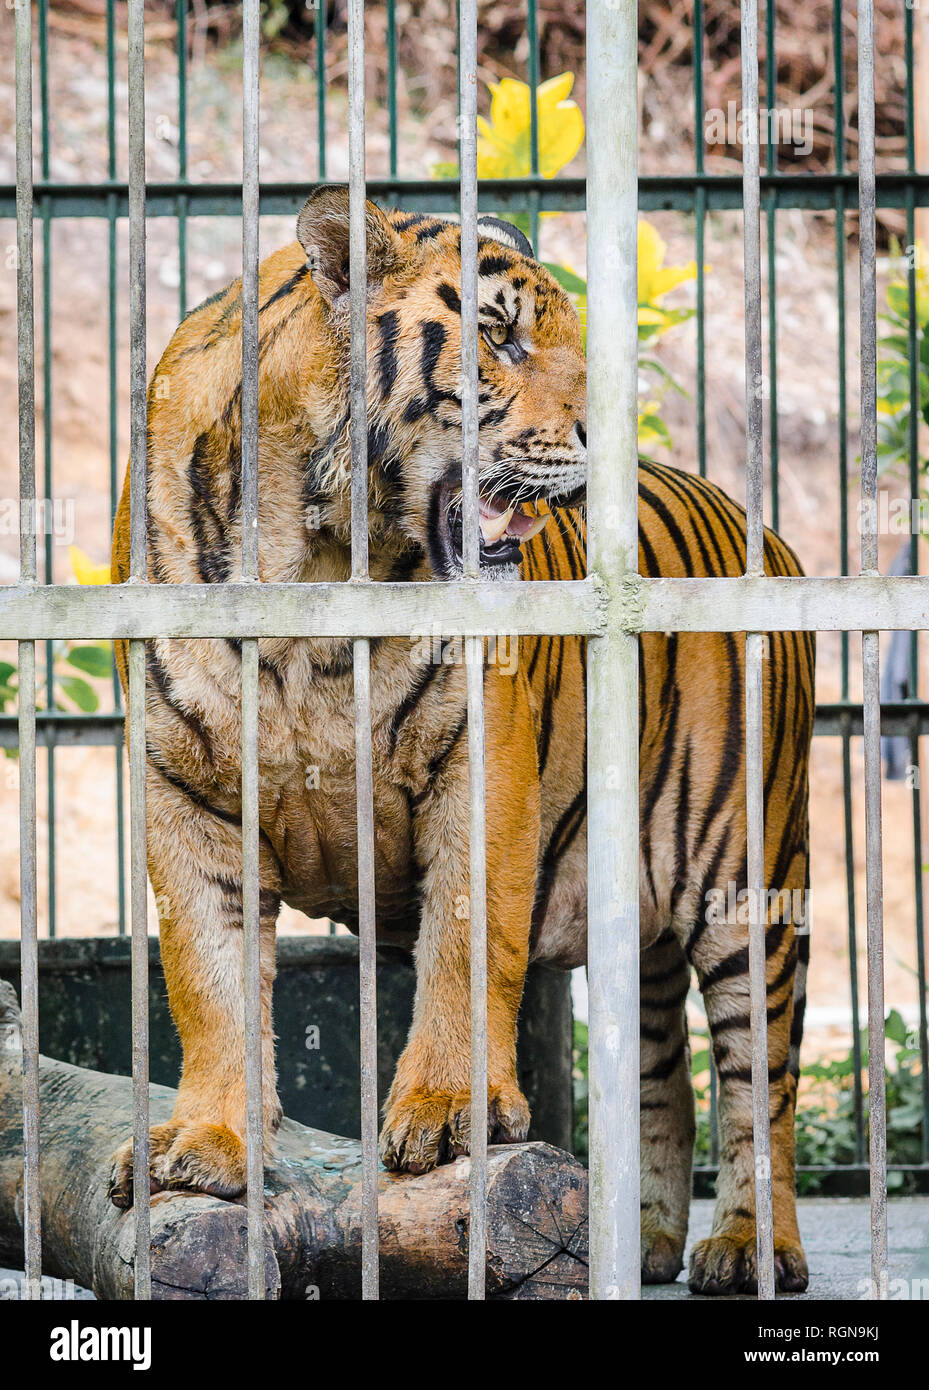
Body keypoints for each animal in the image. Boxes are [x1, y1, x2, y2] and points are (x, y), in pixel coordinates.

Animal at [107, 182, 812, 1289]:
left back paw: (751, 1246)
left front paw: (450, 1114)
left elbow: (466, 943)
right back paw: (643, 1239)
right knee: (662, 1074)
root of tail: (765, 531)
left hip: (746, 886)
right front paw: (206, 1143)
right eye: (500, 335)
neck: (317, 553)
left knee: (761, 1087)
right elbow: (208, 981)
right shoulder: (186, 793)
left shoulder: (480, 763)